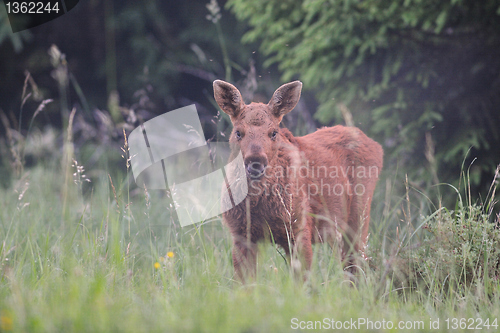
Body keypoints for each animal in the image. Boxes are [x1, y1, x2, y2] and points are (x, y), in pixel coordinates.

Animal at [214, 79, 382, 278]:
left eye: (273, 132)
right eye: (238, 132)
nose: (255, 163)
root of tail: (377, 146)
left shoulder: (300, 229)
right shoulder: (241, 235)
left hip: (358, 219)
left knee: (357, 269)